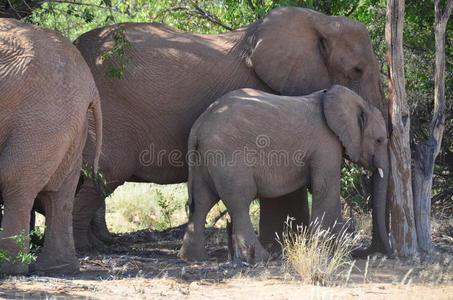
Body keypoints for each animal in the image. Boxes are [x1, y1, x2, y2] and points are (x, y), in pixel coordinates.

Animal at [178, 85, 390, 262]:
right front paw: (328, 249)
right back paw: (260, 258)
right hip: (228, 157)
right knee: (239, 202)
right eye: (379, 140)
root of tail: (198, 126)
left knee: (202, 201)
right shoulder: (326, 144)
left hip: (203, 159)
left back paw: (193, 258)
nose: (387, 253)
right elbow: (325, 188)